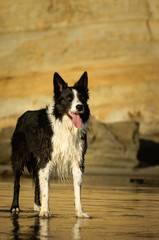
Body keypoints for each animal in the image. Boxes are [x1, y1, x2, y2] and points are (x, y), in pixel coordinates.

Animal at [9, 71, 90, 218]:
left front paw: (80, 212)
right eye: (68, 98)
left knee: (37, 182)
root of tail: (22, 116)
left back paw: (37, 205)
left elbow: (77, 190)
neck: (66, 125)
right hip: (20, 157)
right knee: (17, 183)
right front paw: (45, 211)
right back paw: (15, 207)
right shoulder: (46, 159)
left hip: (36, 161)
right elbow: (45, 189)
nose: (80, 107)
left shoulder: (77, 161)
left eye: (82, 98)